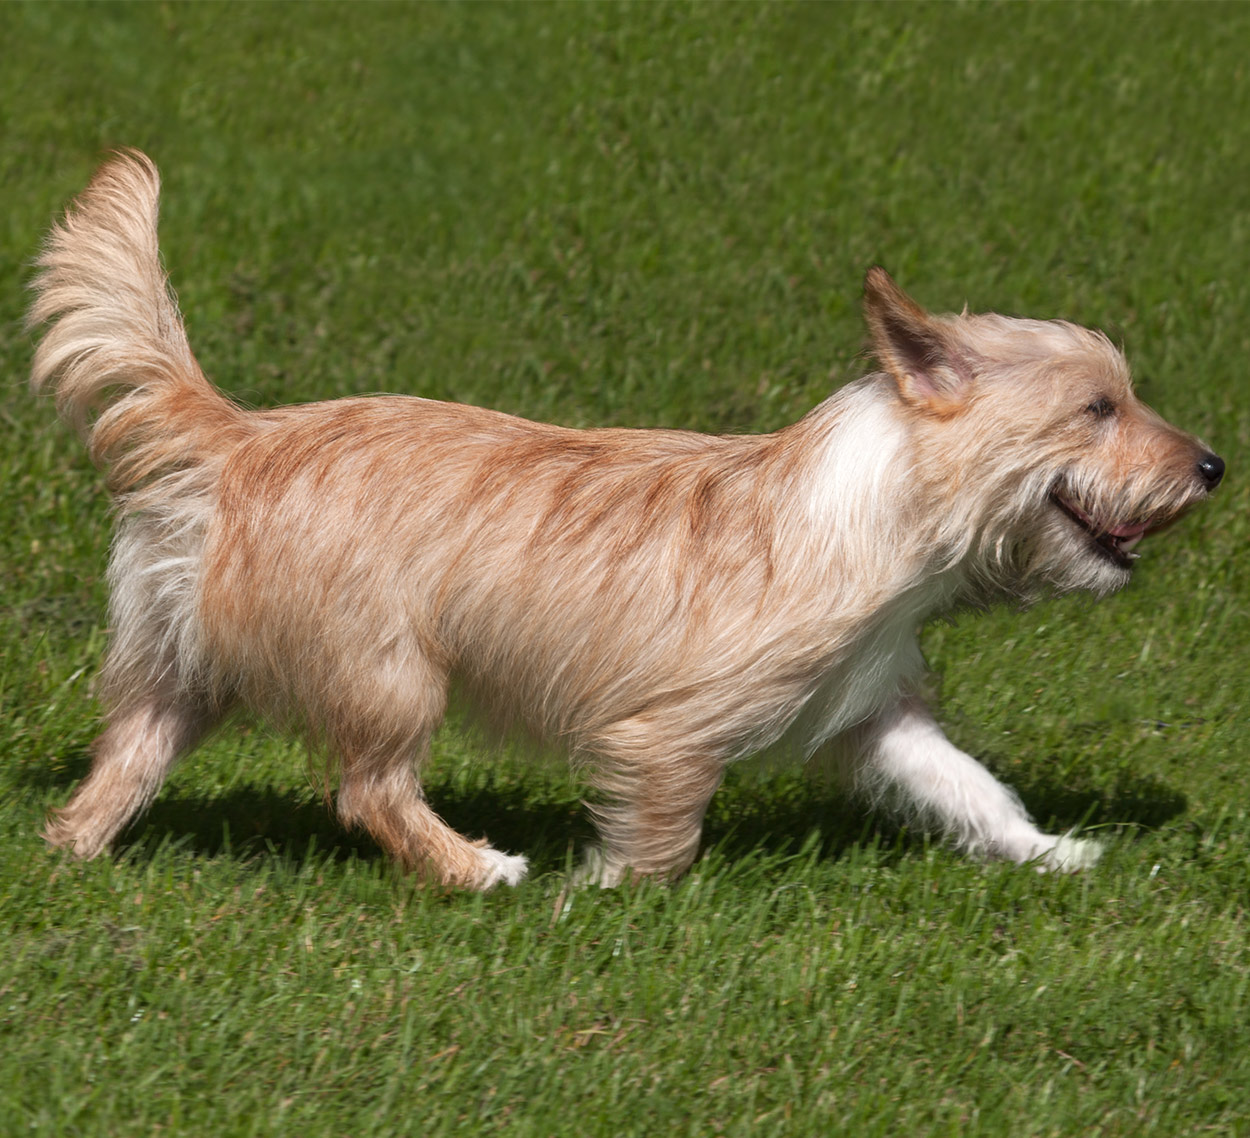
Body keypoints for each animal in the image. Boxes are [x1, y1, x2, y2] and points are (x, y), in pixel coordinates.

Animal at [24, 151, 1225, 890]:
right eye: (1098, 408)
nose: (1212, 466)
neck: (877, 512)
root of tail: (235, 437)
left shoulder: (877, 715)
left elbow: (970, 788)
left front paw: (1051, 850)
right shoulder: (665, 733)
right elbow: (662, 839)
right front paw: (603, 892)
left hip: (184, 674)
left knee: (125, 760)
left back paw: (73, 850)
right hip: (390, 676)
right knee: (369, 790)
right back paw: (477, 868)